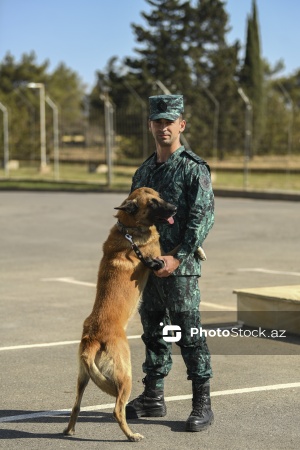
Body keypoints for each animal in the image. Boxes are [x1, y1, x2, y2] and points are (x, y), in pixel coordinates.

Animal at [62, 187, 177, 442]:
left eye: (160, 196)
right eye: (152, 203)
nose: (175, 208)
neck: (129, 230)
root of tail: (93, 337)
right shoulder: (159, 256)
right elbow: (175, 252)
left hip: (83, 377)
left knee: (75, 404)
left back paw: (69, 430)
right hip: (125, 375)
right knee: (117, 410)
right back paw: (131, 435)